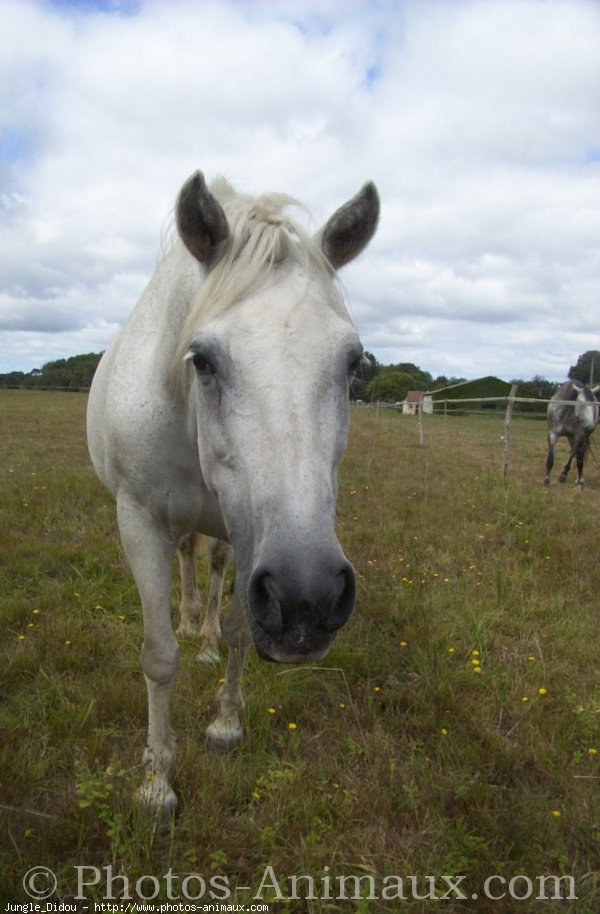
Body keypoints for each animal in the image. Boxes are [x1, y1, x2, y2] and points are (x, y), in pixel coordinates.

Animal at [88, 167, 380, 808]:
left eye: (354, 365)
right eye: (201, 360)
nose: (309, 599)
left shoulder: (249, 545)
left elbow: (242, 634)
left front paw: (225, 724)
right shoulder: (139, 521)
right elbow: (158, 656)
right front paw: (157, 782)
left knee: (215, 570)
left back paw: (204, 636)